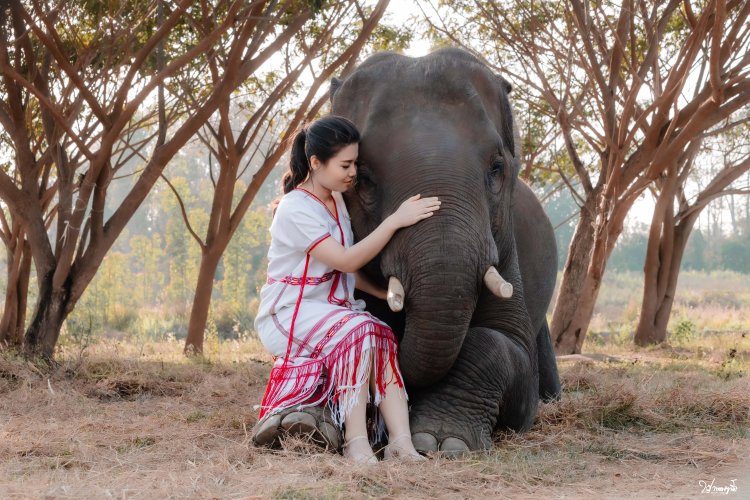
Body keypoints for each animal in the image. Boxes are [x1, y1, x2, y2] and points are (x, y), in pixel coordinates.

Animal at [256, 47, 560, 458]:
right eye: (363, 177)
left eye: (496, 168)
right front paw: (295, 425)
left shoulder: (507, 250)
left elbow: (504, 344)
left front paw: (441, 442)